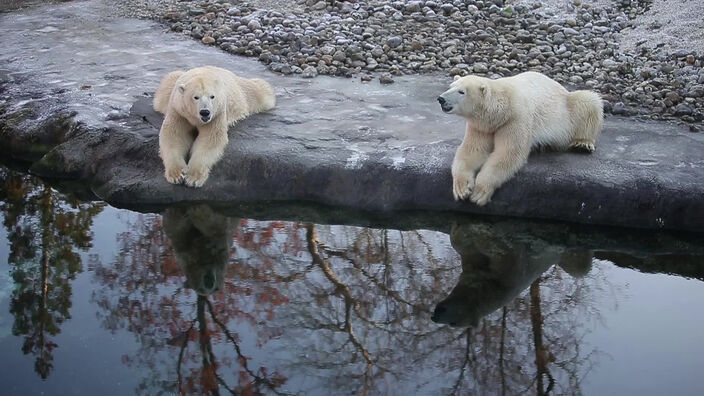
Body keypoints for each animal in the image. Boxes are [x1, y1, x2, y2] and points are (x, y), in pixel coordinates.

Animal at [438, 71, 604, 206]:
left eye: (462, 91)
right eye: (450, 86)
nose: (441, 99)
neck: (500, 110)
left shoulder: (516, 118)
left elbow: (508, 154)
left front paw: (480, 191)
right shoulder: (481, 126)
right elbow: (472, 151)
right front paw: (462, 188)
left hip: (567, 107)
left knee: (588, 100)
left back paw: (582, 143)